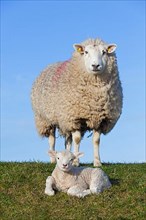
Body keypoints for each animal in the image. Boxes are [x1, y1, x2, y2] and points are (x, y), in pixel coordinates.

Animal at [31, 37, 122, 167]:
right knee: (52, 139)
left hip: (64, 121)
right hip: (46, 119)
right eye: (86, 52)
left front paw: (97, 162)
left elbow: (96, 141)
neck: (95, 97)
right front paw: (75, 162)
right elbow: (77, 140)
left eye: (104, 52)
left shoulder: (100, 119)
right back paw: (53, 159)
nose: (95, 65)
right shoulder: (75, 118)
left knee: (68, 141)